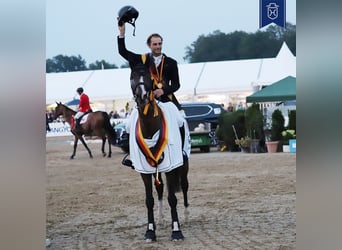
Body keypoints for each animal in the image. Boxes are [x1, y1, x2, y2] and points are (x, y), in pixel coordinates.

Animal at [128, 64, 190, 242]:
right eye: (132, 76)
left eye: (149, 77)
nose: (142, 97)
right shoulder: (144, 171)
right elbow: (149, 200)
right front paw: (150, 231)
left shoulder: (171, 168)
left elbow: (172, 198)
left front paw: (176, 231)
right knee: (160, 188)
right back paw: (161, 219)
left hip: (183, 165)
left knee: (184, 186)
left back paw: (186, 216)